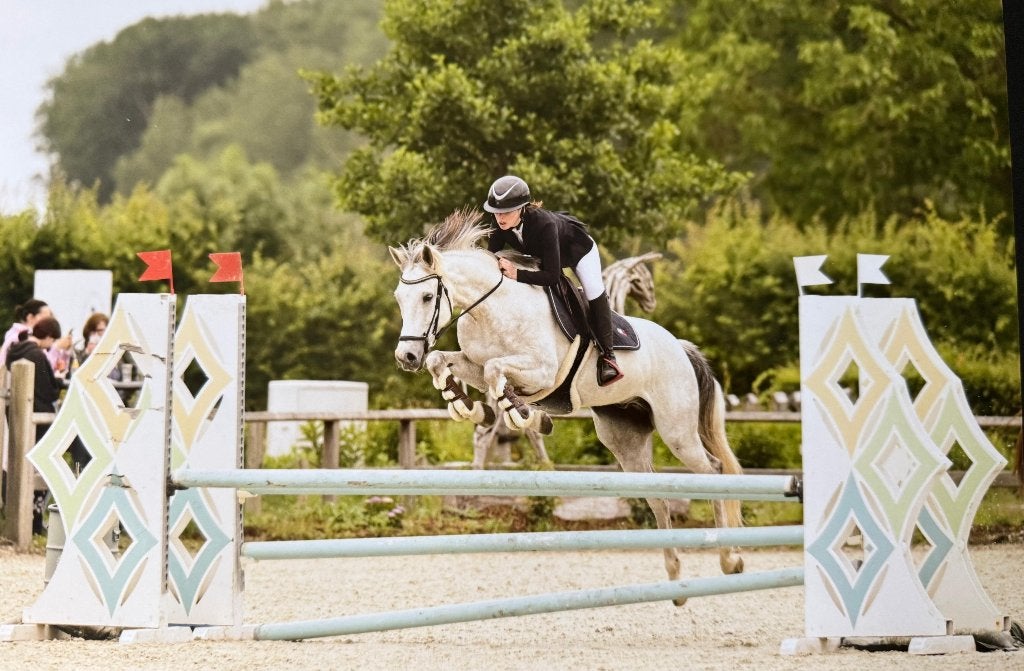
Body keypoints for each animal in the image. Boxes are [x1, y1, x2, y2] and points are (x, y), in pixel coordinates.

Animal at [389, 208, 744, 596]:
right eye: (399, 298)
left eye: (427, 297)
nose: (406, 357)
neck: (492, 308)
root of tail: (680, 347)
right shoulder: (476, 366)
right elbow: (444, 362)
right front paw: (470, 407)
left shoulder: (540, 371)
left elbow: (499, 374)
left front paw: (525, 414)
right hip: (623, 436)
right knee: (657, 495)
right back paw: (675, 574)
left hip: (676, 429)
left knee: (712, 471)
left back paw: (730, 559)